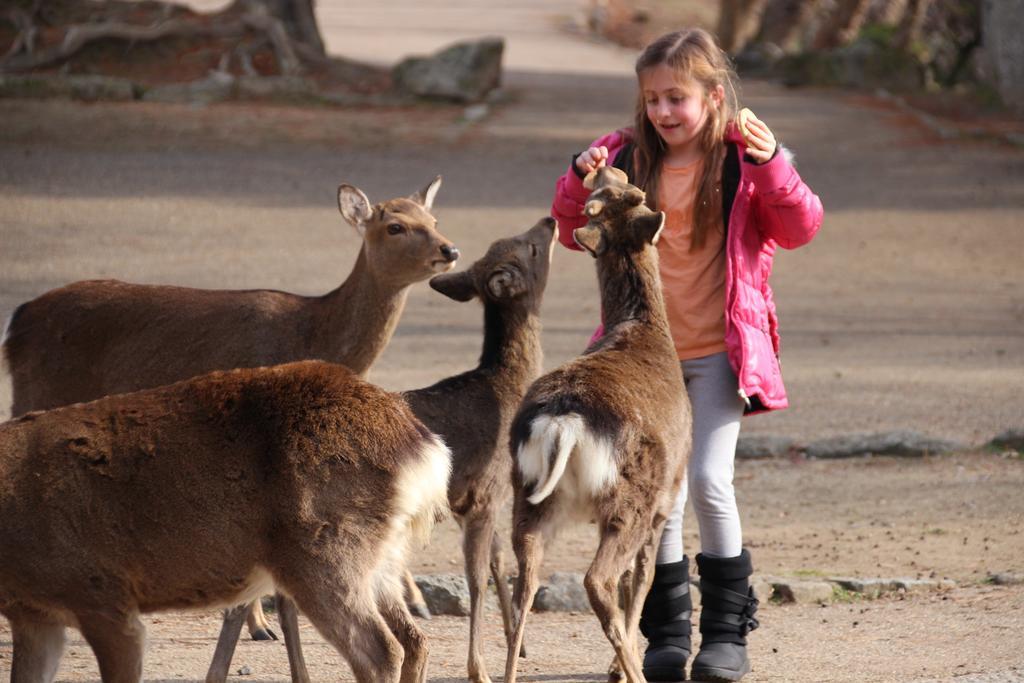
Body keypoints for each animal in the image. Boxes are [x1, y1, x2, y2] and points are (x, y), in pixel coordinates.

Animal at [0, 175, 456, 643]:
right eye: (395, 227)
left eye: (434, 219)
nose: (450, 250)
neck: (311, 331)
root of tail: (16, 322)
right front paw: (259, 625)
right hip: (36, 391)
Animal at [0, 358, 450, 683]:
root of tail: (424, 445)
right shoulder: (34, 615)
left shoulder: (102, 595)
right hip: (382, 556)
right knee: (415, 641)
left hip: (326, 549)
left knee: (380, 651)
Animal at [206, 216, 557, 683]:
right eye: (529, 247)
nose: (550, 220)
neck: (505, 389)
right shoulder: (485, 492)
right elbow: (477, 578)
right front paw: (480, 670)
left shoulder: (477, 500)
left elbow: (499, 565)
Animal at [501, 166, 692, 683]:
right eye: (636, 191)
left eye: (616, 190)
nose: (606, 165)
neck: (646, 330)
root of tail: (563, 423)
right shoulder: (667, 499)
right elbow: (642, 580)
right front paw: (618, 667)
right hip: (631, 499)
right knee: (599, 580)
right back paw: (632, 672)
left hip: (529, 495)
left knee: (524, 581)